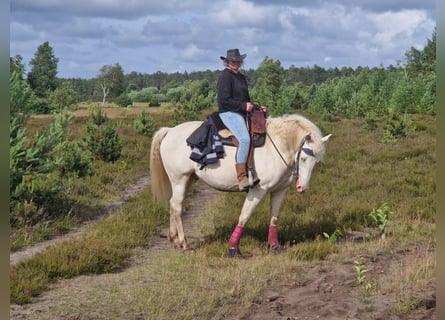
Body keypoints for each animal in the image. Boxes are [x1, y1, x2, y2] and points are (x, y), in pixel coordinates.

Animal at [149, 114, 330, 256]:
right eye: (304, 158)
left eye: (316, 162)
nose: (302, 187)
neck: (277, 147)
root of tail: (170, 130)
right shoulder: (258, 190)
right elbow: (244, 216)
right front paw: (233, 248)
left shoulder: (280, 190)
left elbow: (274, 217)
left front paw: (275, 246)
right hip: (179, 180)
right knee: (177, 207)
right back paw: (184, 244)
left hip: (188, 179)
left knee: (173, 205)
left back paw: (174, 239)